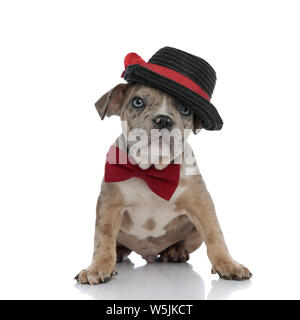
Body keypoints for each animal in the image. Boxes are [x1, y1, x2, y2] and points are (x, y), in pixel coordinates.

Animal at [75, 46, 253, 284]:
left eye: (185, 109)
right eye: (137, 102)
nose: (163, 119)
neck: (152, 170)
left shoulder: (201, 204)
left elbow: (215, 235)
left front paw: (228, 264)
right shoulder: (109, 205)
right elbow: (103, 239)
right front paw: (98, 267)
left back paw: (175, 251)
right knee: (116, 245)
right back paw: (119, 253)